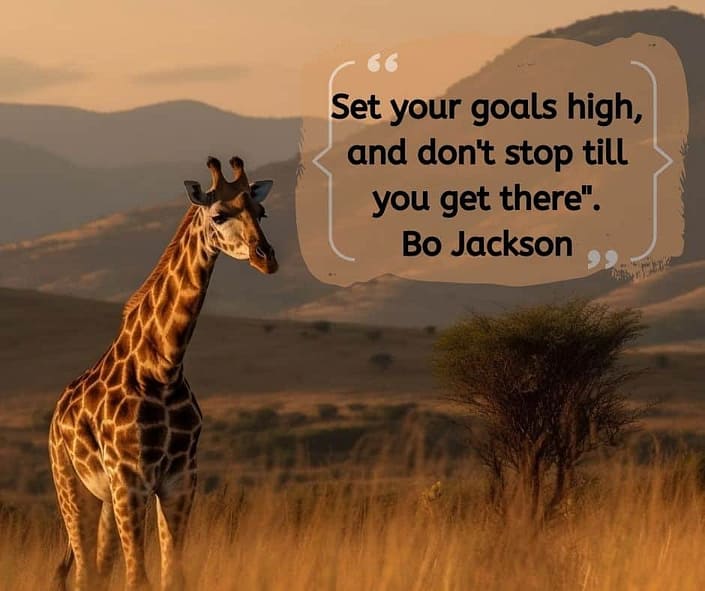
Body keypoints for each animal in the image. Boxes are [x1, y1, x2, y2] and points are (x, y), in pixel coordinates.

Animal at [48, 155, 277, 591]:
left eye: (261, 212)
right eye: (219, 215)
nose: (266, 257)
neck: (163, 368)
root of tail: (55, 417)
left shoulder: (179, 479)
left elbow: (174, 577)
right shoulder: (131, 480)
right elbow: (138, 578)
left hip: (106, 499)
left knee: (98, 572)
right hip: (72, 488)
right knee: (84, 573)